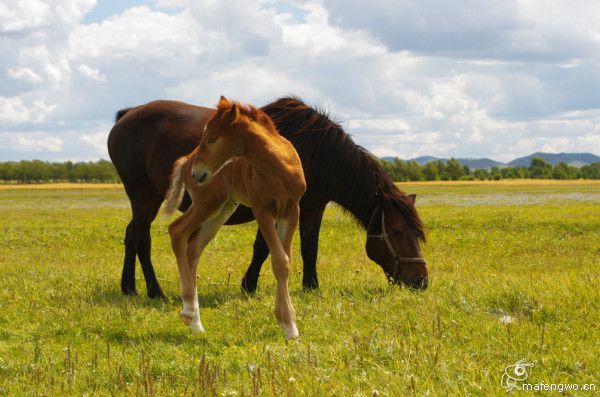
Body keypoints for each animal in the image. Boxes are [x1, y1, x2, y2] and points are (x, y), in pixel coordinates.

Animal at [108, 96, 426, 300]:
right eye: (397, 231)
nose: (421, 280)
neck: (313, 152)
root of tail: (127, 114)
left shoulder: (312, 207)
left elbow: (309, 247)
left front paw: (311, 286)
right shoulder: (272, 204)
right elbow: (262, 247)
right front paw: (248, 285)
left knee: (131, 235)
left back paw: (129, 288)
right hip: (143, 195)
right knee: (142, 239)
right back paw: (155, 292)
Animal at [164, 96, 304, 338]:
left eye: (211, 139)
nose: (197, 173)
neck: (279, 168)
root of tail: (186, 160)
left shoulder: (291, 210)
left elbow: (285, 261)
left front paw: (290, 325)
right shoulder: (262, 210)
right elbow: (279, 261)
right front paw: (287, 323)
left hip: (222, 209)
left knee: (193, 249)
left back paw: (197, 323)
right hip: (207, 203)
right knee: (177, 231)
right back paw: (189, 310)